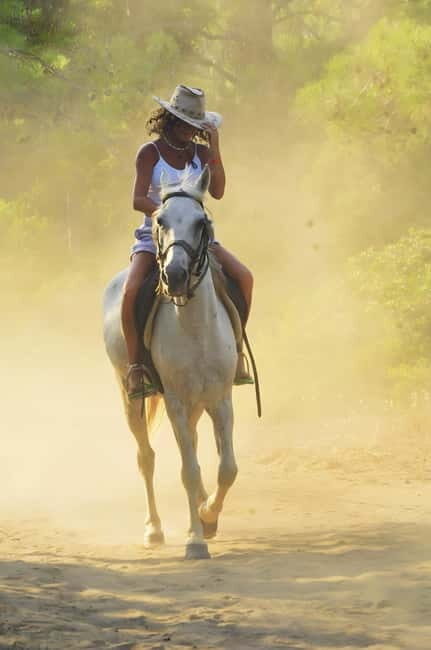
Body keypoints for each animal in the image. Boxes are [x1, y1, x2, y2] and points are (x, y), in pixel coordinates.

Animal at [103, 165, 238, 559]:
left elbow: (227, 467)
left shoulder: (220, 399)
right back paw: (154, 529)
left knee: (192, 443)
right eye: (159, 220)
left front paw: (208, 516)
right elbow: (187, 470)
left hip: (196, 403)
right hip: (129, 395)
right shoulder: (176, 401)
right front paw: (195, 540)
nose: (174, 276)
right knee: (146, 457)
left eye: (200, 221)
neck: (195, 326)